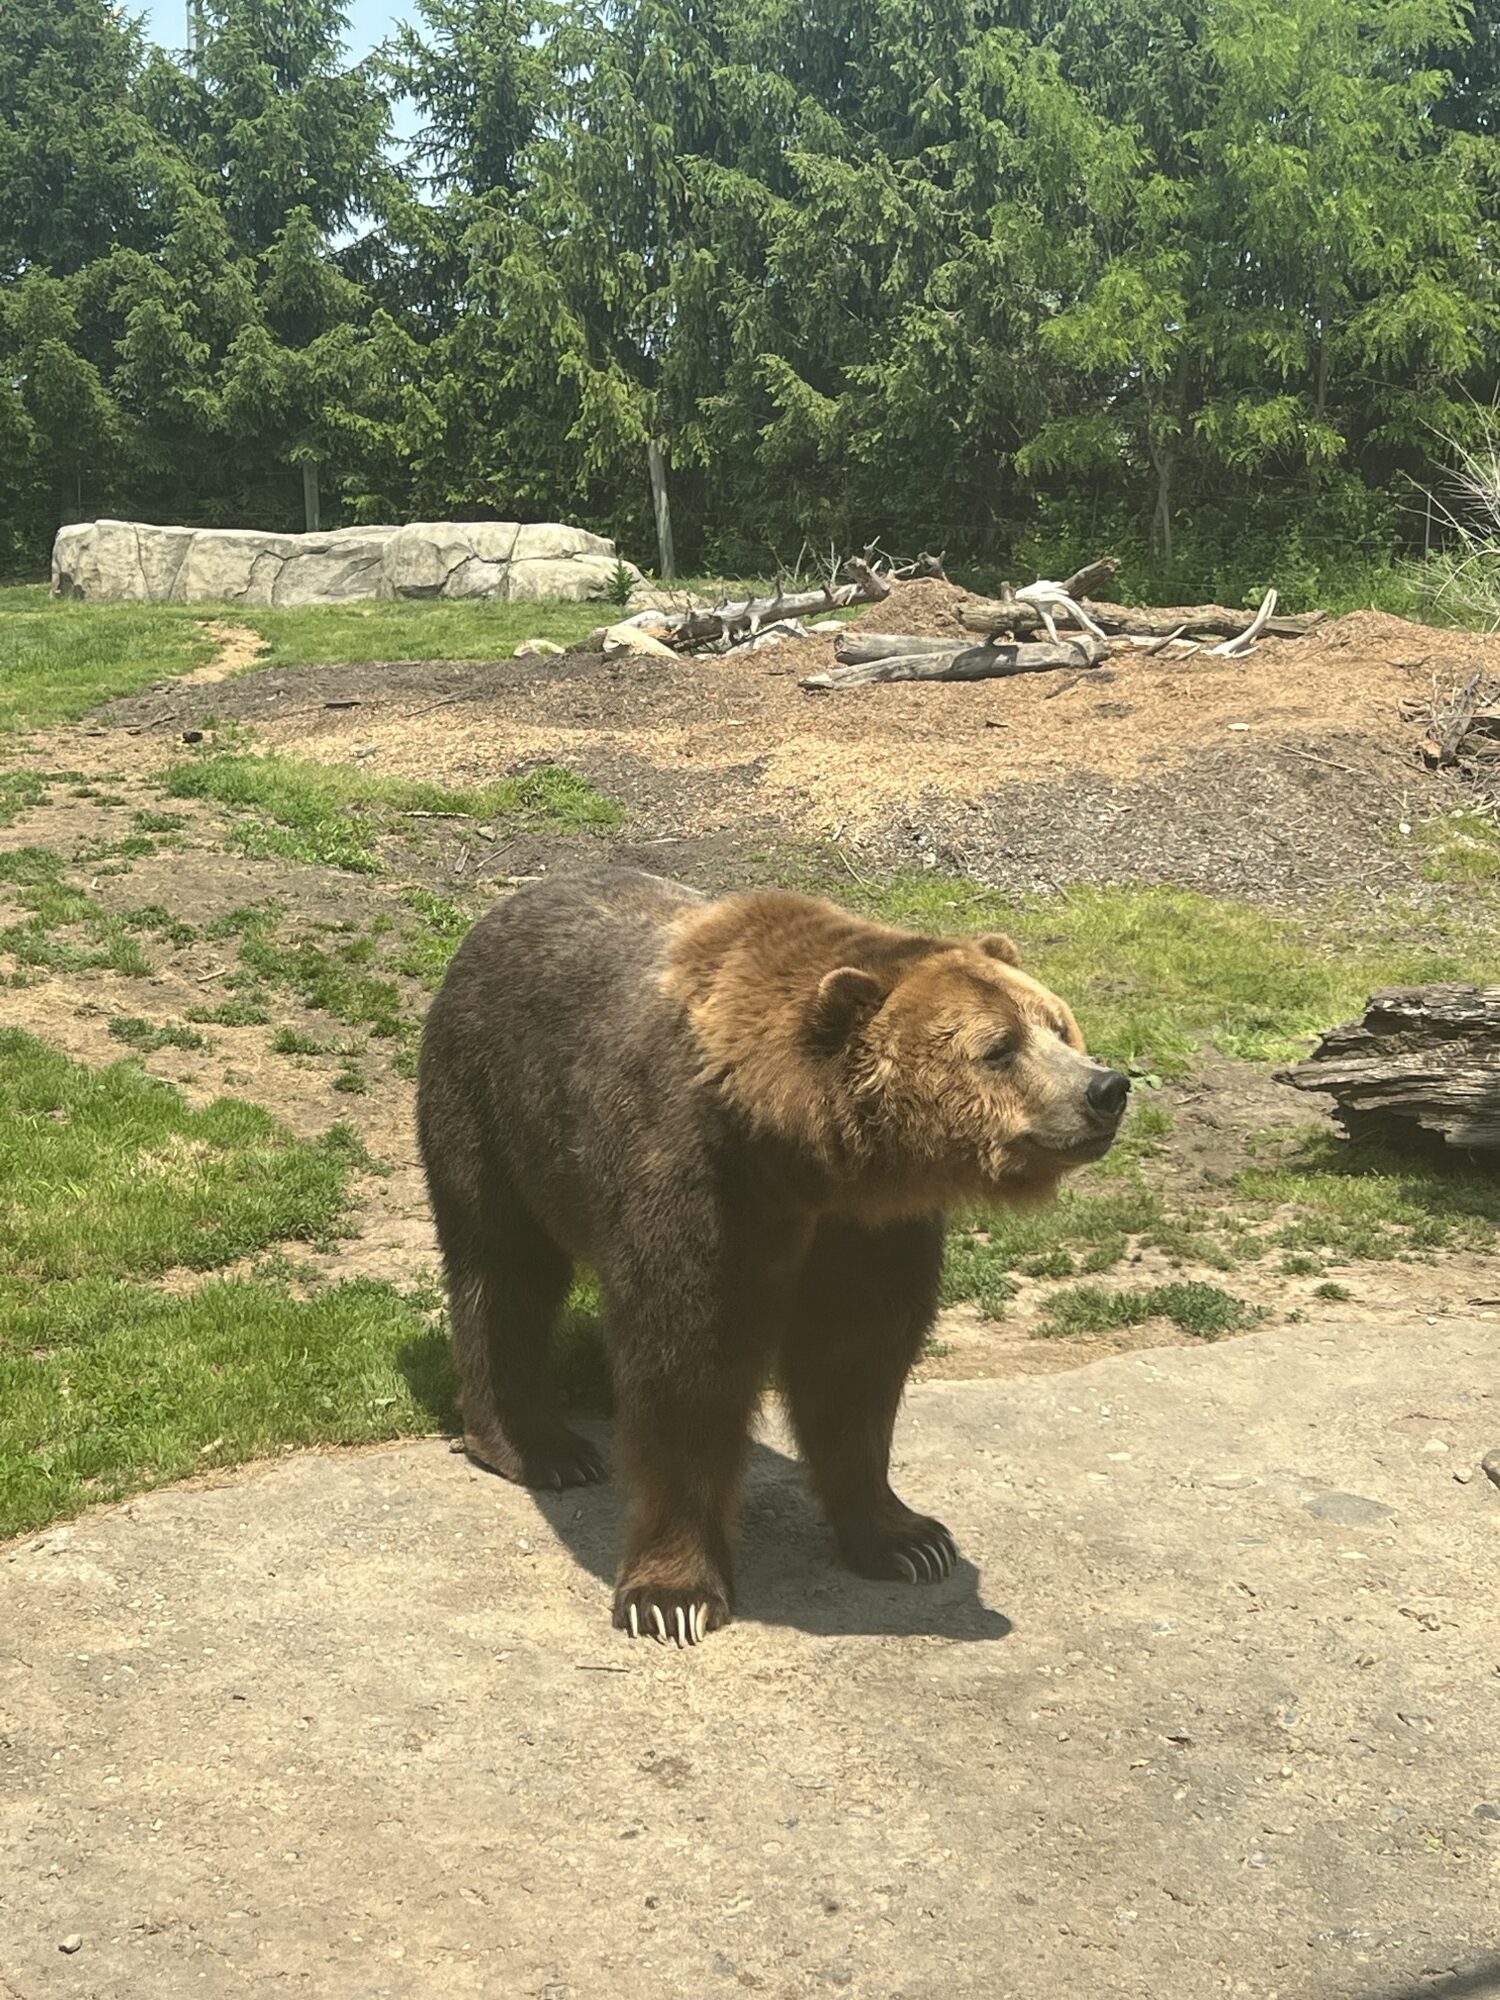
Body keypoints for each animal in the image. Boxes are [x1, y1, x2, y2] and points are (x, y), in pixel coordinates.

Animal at [418, 868, 1136, 1648]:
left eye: (1057, 1025)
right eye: (999, 1047)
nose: (1106, 1087)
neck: (803, 1159)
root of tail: (501, 908)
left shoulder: (868, 1228)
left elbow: (858, 1362)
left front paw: (909, 1539)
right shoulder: (700, 1182)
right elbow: (688, 1367)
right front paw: (672, 1597)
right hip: (493, 1105)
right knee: (504, 1268)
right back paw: (540, 1447)